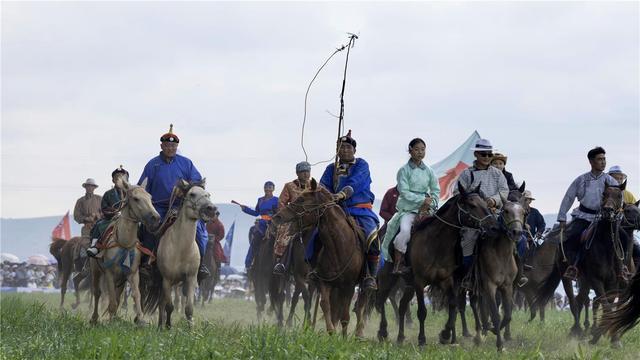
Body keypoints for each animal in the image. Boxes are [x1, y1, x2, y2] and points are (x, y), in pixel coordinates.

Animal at [88, 179, 160, 324]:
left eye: (150, 198)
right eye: (136, 198)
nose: (156, 218)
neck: (124, 243)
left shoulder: (132, 273)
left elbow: (136, 295)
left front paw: (141, 320)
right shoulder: (109, 274)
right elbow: (111, 301)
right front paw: (110, 322)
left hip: (120, 278)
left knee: (117, 295)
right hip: (95, 270)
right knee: (97, 293)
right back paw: (94, 318)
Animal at [146, 180, 216, 330]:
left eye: (208, 194)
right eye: (192, 194)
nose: (211, 209)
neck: (181, 249)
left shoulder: (191, 278)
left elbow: (189, 308)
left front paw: (191, 329)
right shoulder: (167, 280)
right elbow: (169, 307)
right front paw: (168, 326)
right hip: (163, 282)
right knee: (162, 304)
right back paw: (160, 326)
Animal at [272, 180, 370, 338]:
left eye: (302, 199)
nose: (277, 217)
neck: (339, 246)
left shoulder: (348, 286)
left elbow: (345, 315)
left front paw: (343, 338)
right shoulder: (323, 281)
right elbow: (324, 304)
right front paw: (330, 331)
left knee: (361, 303)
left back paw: (359, 333)